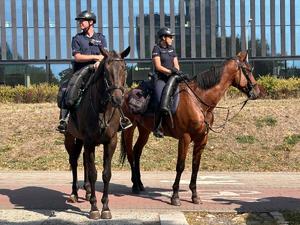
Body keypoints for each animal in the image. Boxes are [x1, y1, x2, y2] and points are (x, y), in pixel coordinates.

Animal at [64, 46, 130, 220]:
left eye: (124, 69)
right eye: (106, 71)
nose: (117, 99)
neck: (102, 109)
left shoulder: (110, 142)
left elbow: (106, 174)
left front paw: (105, 208)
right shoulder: (89, 141)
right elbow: (93, 173)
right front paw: (94, 208)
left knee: (84, 160)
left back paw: (87, 191)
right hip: (70, 137)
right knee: (74, 161)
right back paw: (74, 193)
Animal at [119, 51, 260, 207]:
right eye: (247, 70)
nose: (257, 91)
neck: (199, 101)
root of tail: (127, 94)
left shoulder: (202, 139)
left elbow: (195, 166)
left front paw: (195, 196)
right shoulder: (185, 138)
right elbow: (180, 166)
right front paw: (175, 196)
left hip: (145, 130)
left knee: (137, 152)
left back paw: (140, 184)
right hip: (129, 129)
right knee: (131, 154)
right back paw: (135, 186)